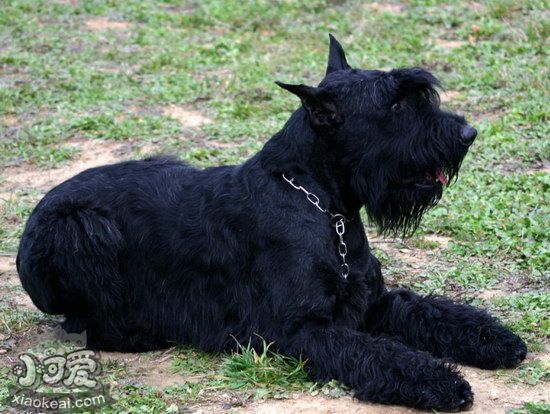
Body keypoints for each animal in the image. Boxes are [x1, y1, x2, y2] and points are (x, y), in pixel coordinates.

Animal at [16, 35, 528, 410]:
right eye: (397, 106)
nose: (468, 133)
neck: (326, 207)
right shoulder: (301, 328)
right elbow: (381, 353)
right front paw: (441, 382)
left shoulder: (373, 302)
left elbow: (435, 313)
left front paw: (495, 339)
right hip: (79, 228)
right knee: (82, 322)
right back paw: (139, 333)